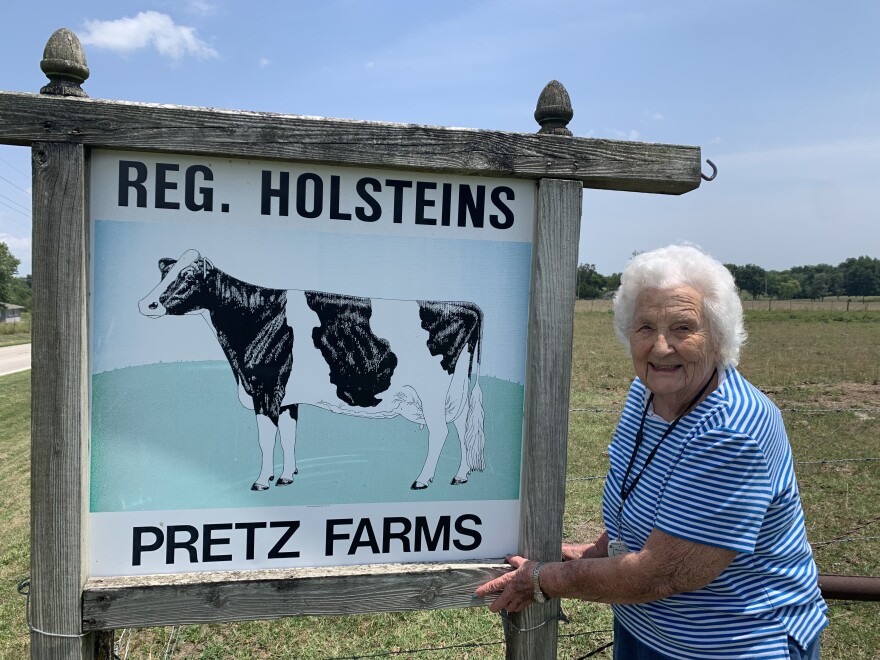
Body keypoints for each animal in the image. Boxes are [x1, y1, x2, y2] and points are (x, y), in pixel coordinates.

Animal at [136, 250, 488, 492]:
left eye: (188, 276)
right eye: (164, 273)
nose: (146, 304)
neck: (256, 316)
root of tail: (465, 306)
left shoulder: (265, 389)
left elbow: (266, 439)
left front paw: (262, 480)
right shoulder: (287, 397)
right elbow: (289, 436)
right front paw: (286, 476)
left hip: (432, 391)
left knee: (440, 431)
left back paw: (423, 480)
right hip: (454, 390)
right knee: (460, 426)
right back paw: (460, 476)